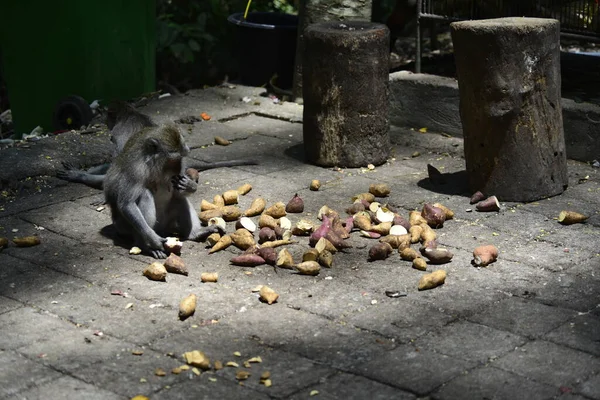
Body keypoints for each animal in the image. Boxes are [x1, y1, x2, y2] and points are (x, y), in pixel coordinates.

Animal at [103, 123, 220, 258]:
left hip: (167, 222)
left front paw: (190, 185)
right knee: (145, 195)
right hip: (125, 228)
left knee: (178, 199)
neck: (153, 165)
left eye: (181, 158)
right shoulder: (135, 170)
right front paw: (153, 239)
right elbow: (127, 204)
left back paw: (195, 233)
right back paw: (146, 246)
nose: (178, 169)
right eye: (172, 160)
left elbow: (178, 192)